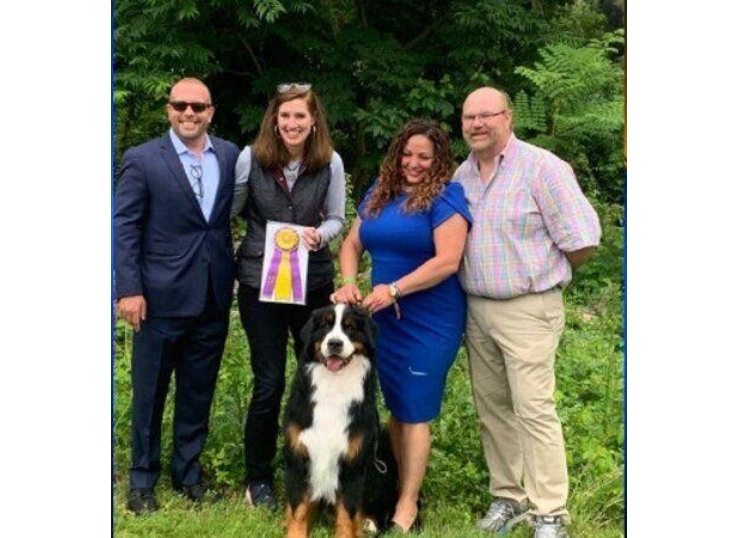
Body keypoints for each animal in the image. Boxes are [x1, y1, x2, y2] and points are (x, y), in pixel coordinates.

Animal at [282, 304, 396, 532]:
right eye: (325, 326)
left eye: (350, 327)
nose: (335, 343)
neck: (333, 388)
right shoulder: (298, 457)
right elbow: (298, 511)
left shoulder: (353, 463)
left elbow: (346, 516)